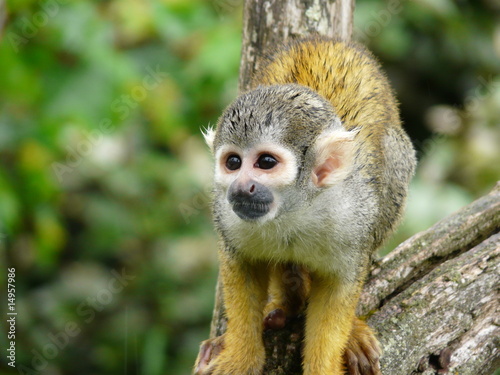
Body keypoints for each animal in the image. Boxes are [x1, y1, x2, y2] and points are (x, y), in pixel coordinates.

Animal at [193, 37, 416, 375]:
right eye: (233, 163)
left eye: (265, 162)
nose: (241, 187)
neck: (292, 210)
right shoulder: (228, 216)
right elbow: (241, 265)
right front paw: (239, 356)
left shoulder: (353, 216)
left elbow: (339, 287)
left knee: (394, 153)